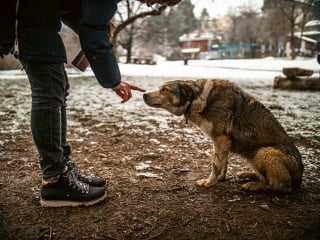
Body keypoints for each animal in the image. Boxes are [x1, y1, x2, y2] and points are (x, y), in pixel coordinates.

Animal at [144, 79, 304, 192]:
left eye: (165, 89)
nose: (144, 94)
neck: (199, 99)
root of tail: (299, 180)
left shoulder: (220, 139)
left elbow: (215, 164)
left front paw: (209, 183)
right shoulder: (223, 141)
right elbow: (223, 162)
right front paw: (221, 178)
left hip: (264, 152)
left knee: (280, 186)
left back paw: (255, 185)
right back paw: (249, 174)